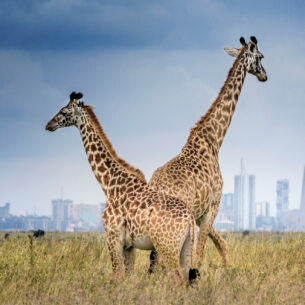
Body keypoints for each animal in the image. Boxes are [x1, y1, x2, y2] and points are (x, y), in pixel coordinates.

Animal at [45, 91, 200, 284]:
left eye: (64, 111)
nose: (49, 125)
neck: (110, 185)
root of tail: (190, 220)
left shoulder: (113, 237)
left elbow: (117, 274)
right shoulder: (129, 245)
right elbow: (128, 277)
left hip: (167, 247)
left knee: (178, 280)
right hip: (187, 248)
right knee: (188, 280)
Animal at [148, 35, 266, 268]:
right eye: (260, 57)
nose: (265, 75)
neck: (214, 141)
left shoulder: (201, 212)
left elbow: (221, 244)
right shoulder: (213, 205)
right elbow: (200, 254)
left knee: (155, 259)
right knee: (165, 259)